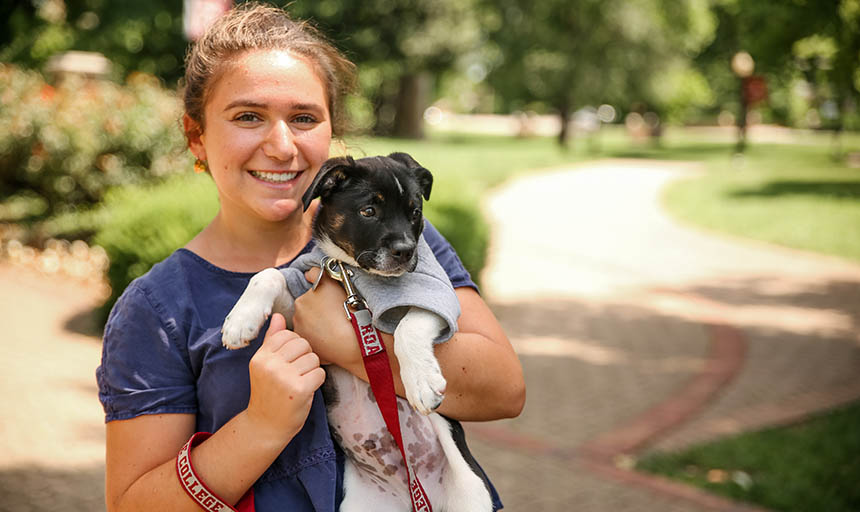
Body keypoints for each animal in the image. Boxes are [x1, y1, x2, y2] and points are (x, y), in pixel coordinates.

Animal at [218, 153, 494, 512]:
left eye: (414, 212)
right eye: (369, 211)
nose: (406, 251)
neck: (347, 271)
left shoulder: (435, 295)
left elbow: (408, 329)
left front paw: (422, 383)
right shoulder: (300, 299)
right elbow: (268, 274)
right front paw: (240, 321)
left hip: (470, 494)